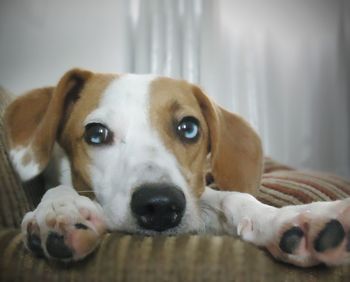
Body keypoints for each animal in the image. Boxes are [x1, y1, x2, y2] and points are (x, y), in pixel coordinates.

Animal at [4, 68, 350, 266]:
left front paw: (290, 218)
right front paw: (61, 210)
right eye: (96, 133)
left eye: (189, 128)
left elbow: (235, 198)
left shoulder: (197, 198)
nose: (159, 205)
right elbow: (59, 188)